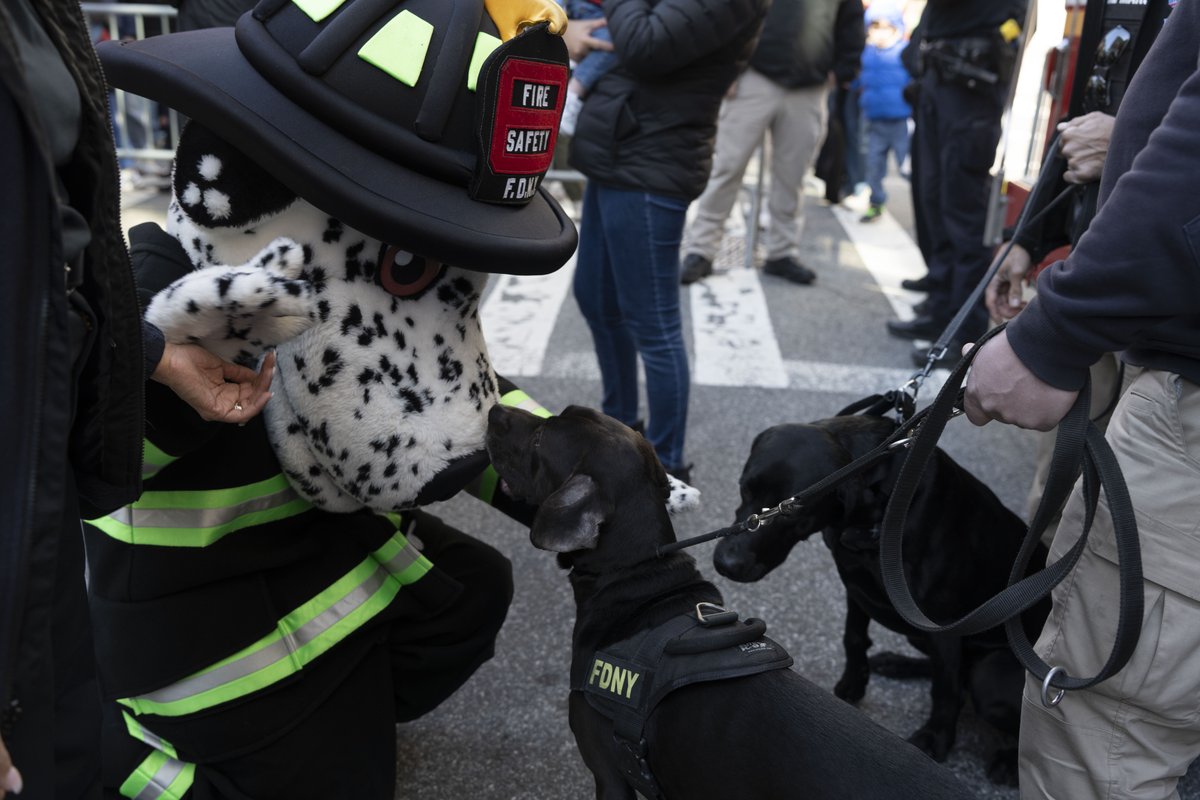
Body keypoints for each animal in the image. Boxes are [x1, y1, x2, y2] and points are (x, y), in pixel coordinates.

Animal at [710, 417, 1051, 786]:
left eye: (789, 512)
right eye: (744, 488)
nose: (725, 564)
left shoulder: (943, 622)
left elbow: (945, 688)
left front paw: (936, 737)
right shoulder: (855, 585)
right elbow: (854, 638)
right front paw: (855, 680)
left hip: (990, 674)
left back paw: (1009, 759)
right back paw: (897, 663)